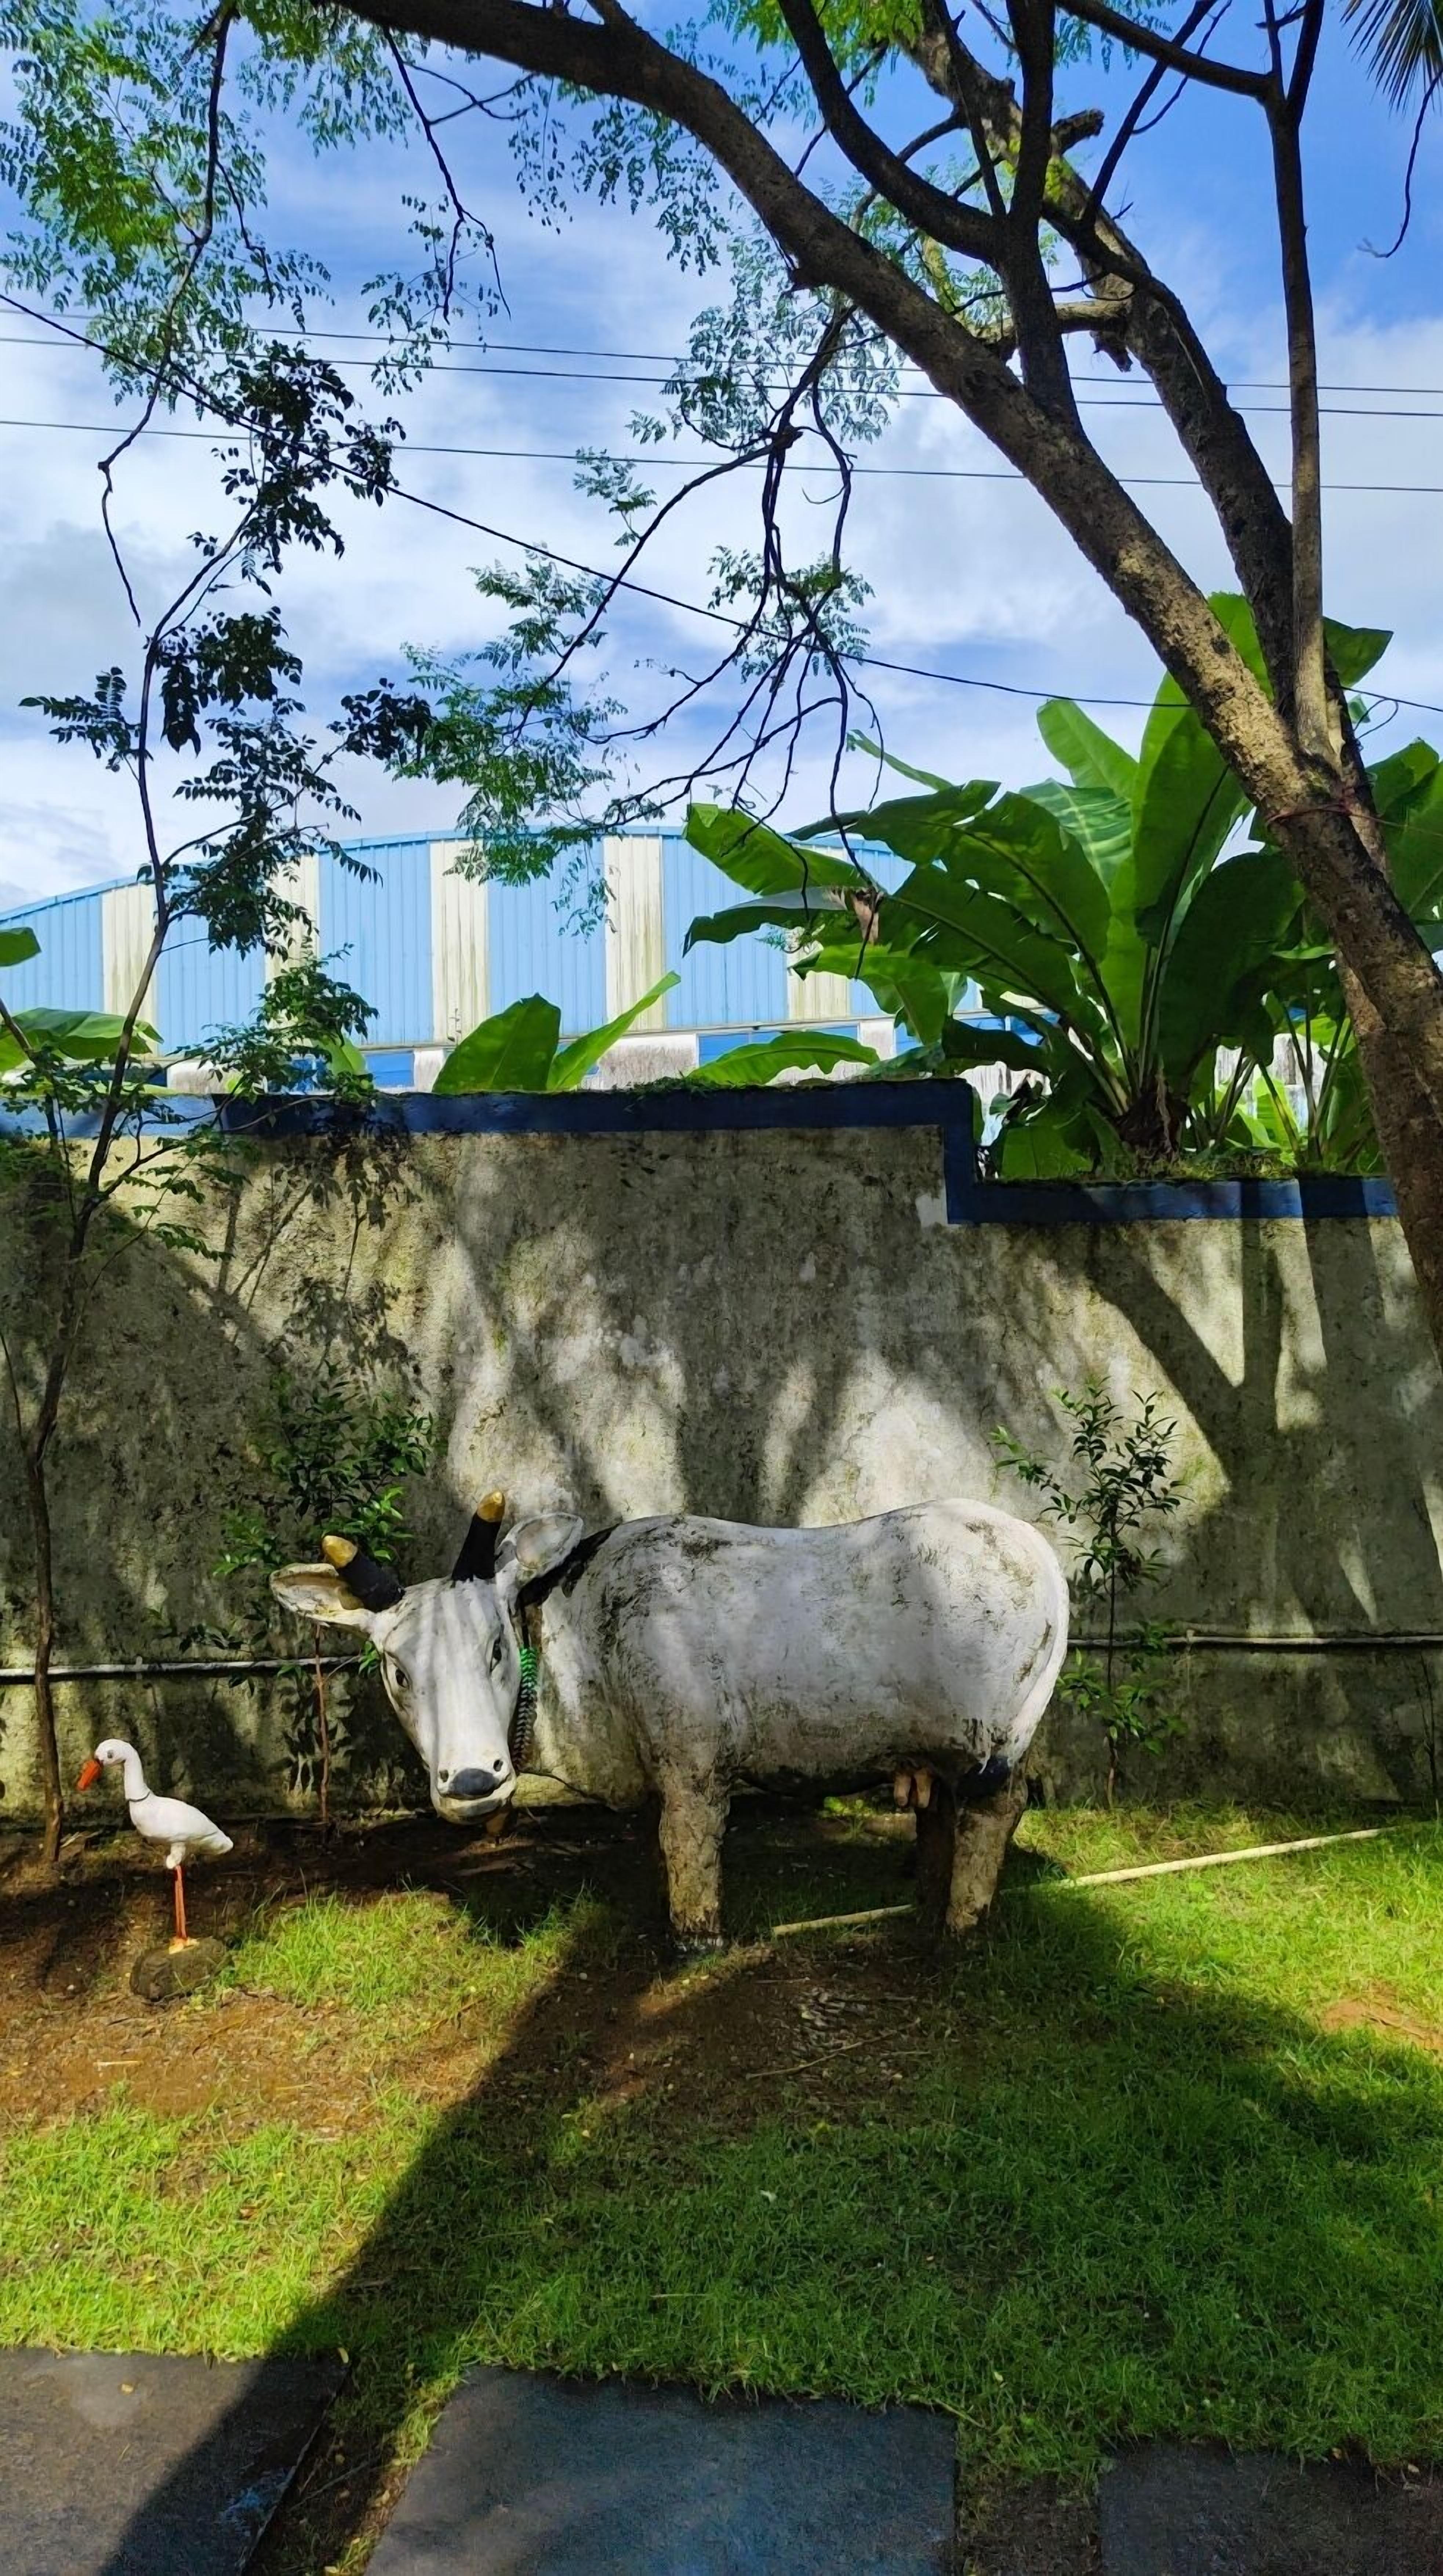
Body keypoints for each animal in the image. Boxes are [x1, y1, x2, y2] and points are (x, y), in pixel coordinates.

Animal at [271, 1491, 1068, 1947]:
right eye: (398, 1670)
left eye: (495, 1647)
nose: (472, 1781)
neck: (572, 1637)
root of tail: (1035, 1548)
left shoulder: (693, 1768)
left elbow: (686, 1850)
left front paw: (694, 1941)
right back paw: (928, 1897)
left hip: (989, 1742)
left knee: (996, 1810)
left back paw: (961, 1926)